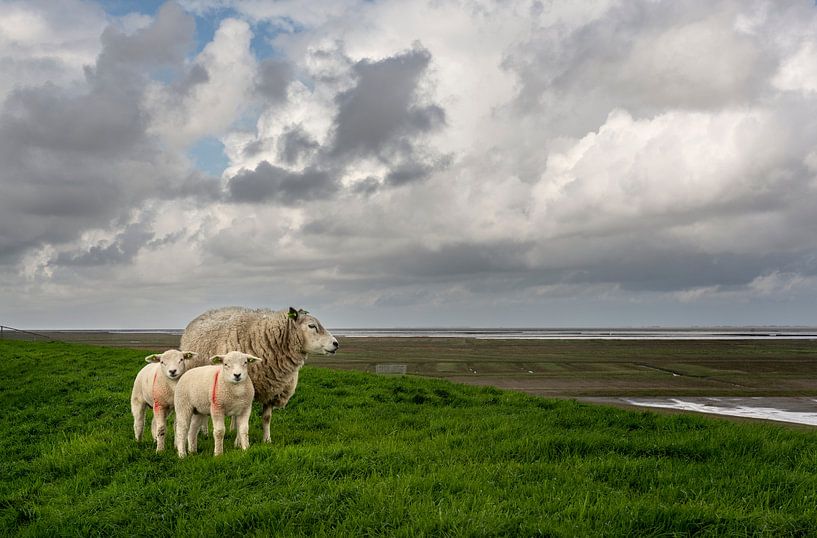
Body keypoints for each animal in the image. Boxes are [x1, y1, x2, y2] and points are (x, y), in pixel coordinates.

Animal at [180, 306, 339, 443]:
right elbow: (242, 420)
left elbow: (266, 418)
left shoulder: (272, 388)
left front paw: (266, 440)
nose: (336, 344)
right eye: (312, 326)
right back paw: (205, 432)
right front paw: (238, 442)